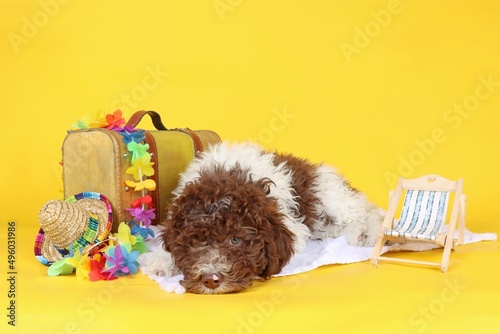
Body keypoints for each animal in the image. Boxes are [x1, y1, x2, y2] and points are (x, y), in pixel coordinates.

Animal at [146, 142, 382, 294]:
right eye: (195, 240)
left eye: (235, 239)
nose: (211, 280)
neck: (227, 175)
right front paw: (160, 261)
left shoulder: (292, 226)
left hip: (330, 195)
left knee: (367, 211)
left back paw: (365, 233)